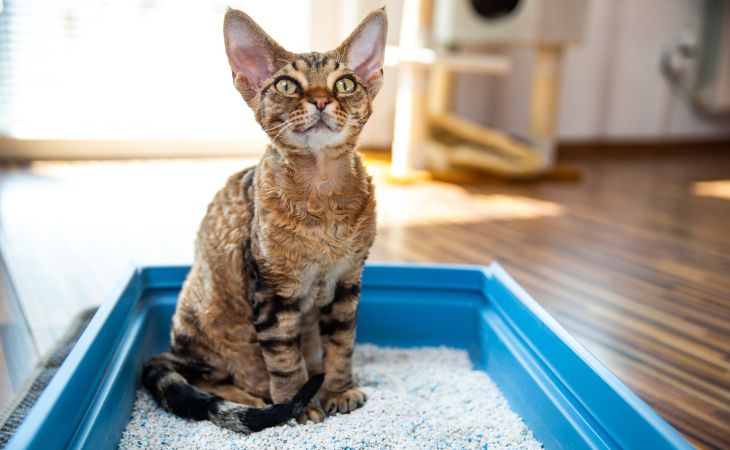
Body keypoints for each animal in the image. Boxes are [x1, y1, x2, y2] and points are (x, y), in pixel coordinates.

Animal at [139, 7, 384, 434]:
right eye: (287, 85)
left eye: (345, 84)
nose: (322, 99)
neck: (323, 202)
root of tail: (171, 350)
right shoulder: (272, 292)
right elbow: (285, 361)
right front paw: (297, 406)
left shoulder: (347, 282)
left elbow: (343, 345)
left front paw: (339, 390)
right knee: (206, 379)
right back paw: (252, 399)